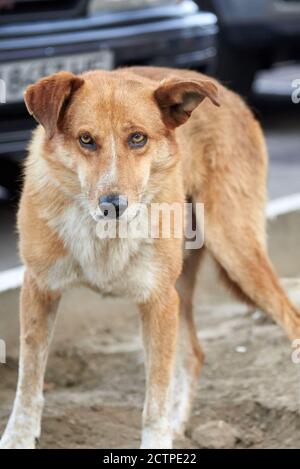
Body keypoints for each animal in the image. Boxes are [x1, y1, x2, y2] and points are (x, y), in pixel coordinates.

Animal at [1, 65, 298, 446]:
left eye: (138, 138)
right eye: (86, 139)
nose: (113, 205)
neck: (105, 236)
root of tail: (232, 97)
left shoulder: (158, 301)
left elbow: (154, 400)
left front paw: (158, 441)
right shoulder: (40, 288)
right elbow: (28, 382)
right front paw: (18, 437)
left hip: (237, 254)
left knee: (290, 319)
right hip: (184, 286)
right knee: (194, 354)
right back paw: (178, 426)